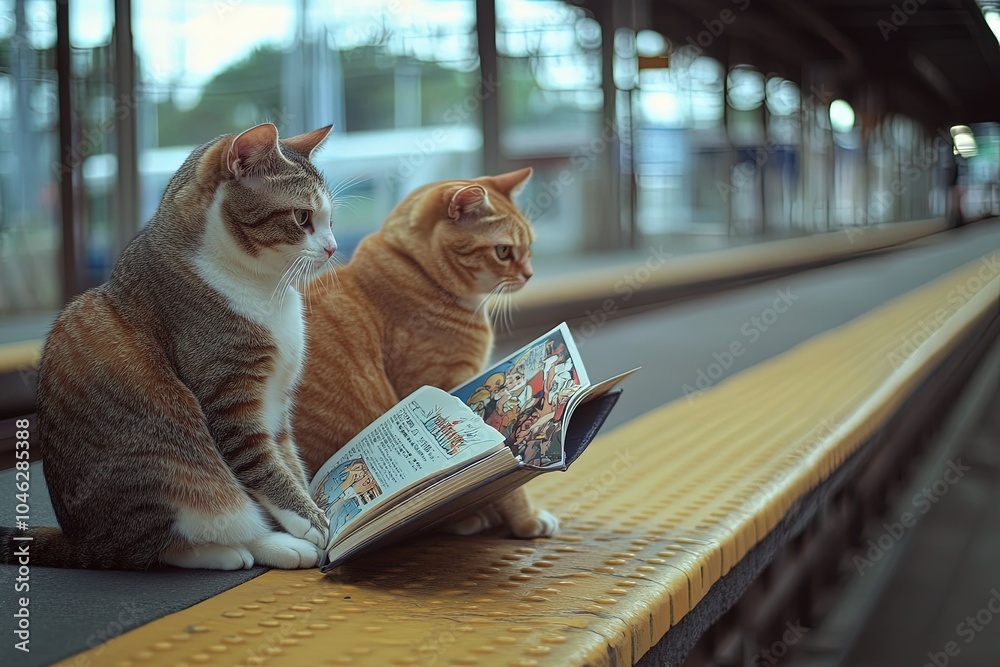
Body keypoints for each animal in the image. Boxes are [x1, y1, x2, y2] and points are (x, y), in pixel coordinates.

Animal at [0, 122, 338, 572]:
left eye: (331, 219)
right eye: (303, 218)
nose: (333, 248)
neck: (266, 289)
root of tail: (80, 540)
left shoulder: (278, 403)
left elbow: (289, 460)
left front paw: (308, 505)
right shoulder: (228, 400)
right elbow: (264, 466)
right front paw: (309, 520)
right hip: (169, 473)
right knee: (177, 539)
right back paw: (255, 550)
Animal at [294, 168, 564, 536]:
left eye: (529, 249)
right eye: (504, 251)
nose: (529, 274)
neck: (419, 274)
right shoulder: (444, 383)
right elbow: (503, 472)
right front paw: (520, 519)